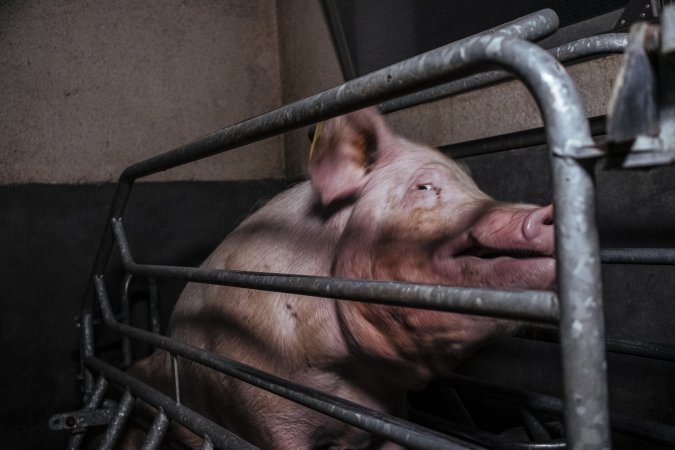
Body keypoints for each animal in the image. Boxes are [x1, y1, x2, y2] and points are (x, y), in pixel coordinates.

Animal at [125, 107, 555, 449]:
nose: (545, 213)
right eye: (425, 186)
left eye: (476, 187)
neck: (351, 379)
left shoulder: (392, 412)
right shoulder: (260, 408)